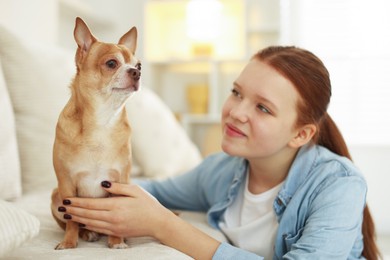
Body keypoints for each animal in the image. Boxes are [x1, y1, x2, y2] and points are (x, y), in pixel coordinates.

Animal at [49, 17, 139, 249]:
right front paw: (69, 243)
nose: (137, 72)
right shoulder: (66, 184)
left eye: (138, 65)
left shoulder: (120, 181)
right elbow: (71, 218)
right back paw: (87, 233)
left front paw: (116, 242)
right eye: (111, 63)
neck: (102, 120)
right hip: (55, 197)